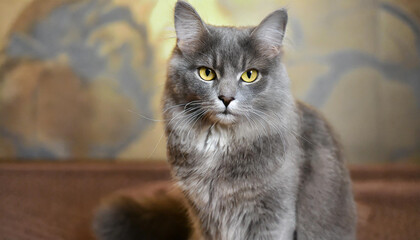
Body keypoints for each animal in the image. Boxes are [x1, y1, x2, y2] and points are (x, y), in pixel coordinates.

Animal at [93, 1, 356, 240]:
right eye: (206, 73)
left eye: (249, 75)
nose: (226, 98)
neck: (220, 142)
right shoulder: (203, 216)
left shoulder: (274, 214)